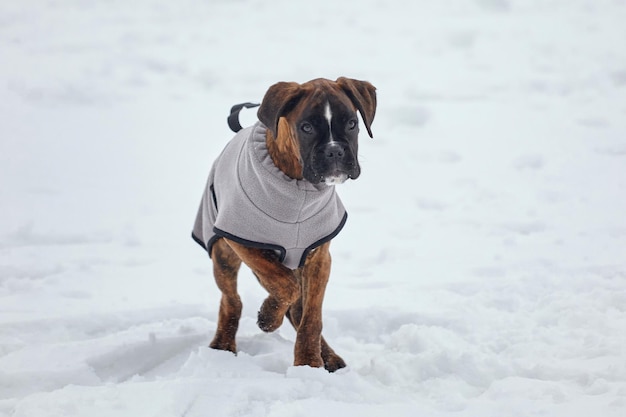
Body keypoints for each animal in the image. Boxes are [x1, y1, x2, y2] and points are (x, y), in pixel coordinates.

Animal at [190, 76, 376, 368]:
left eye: (351, 123)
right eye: (306, 127)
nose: (334, 151)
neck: (299, 188)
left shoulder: (319, 257)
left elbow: (311, 316)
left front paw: (309, 363)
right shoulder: (242, 240)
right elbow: (284, 285)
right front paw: (268, 317)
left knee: (298, 309)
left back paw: (329, 357)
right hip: (223, 254)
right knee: (232, 300)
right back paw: (223, 345)